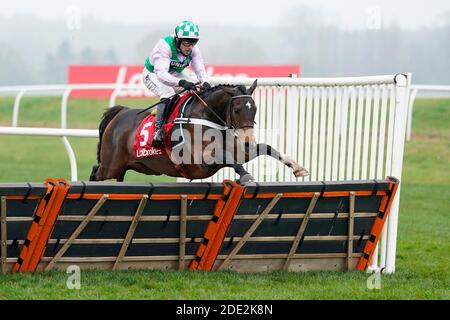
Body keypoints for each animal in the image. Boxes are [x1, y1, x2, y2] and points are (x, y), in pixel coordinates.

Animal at [90, 80, 310, 184]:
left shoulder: (240, 151)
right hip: (110, 166)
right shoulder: (197, 162)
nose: (248, 140)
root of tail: (120, 112)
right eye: (237, 110)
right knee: (94, 172)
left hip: (122, 168)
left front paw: (297, 167)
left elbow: (266, 148)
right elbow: (227, 157)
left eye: (254, 108)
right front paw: (246, 176)